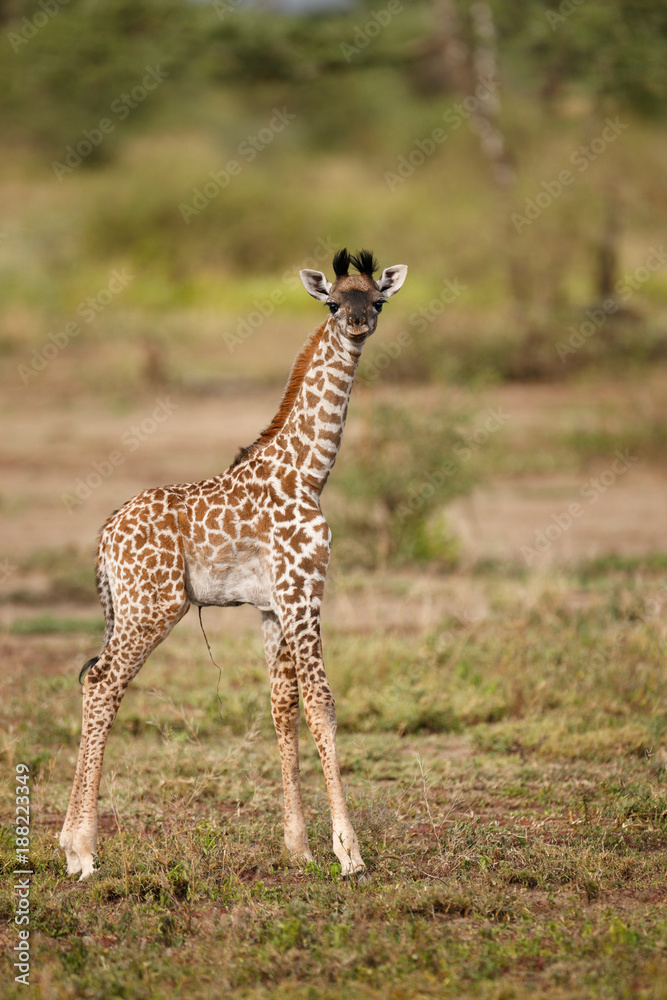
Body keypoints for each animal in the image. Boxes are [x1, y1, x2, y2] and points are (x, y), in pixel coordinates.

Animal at [60, 248, 408, 881]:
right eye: (332, 302)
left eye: (377, 300)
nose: (357, 325)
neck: (310, 471)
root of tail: (104, 539)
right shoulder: (304, 591)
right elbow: (323, 704)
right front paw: (349, 853)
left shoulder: (272, 607)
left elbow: (283, 707)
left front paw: (298, 846)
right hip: (154, 606)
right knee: (102, 683)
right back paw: (83, 851)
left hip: (130, 608)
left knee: (96, 681)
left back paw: (68, 844)